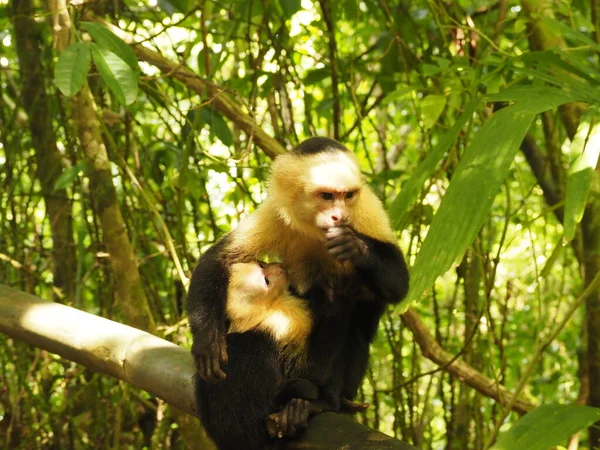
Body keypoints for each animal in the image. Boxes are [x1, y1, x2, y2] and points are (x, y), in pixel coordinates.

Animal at [190, 136, 410, 414]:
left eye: (348, 196)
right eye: (327, 196)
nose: (340, 216)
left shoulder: (367, 212)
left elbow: (398, 285)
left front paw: (354, 246)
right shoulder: (277, 212)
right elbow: (220, 258)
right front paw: (207, 340)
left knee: (357, 326)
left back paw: (330, 400)